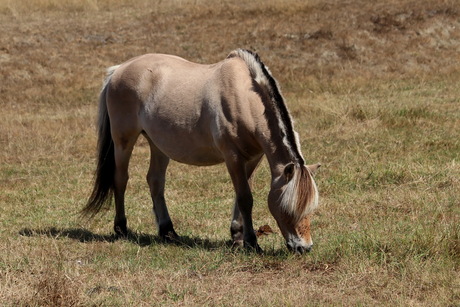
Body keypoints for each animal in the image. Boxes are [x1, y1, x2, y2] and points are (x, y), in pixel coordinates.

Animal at [82, 48, 320, 255]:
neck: (244, 98)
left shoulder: (252, 159)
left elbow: (241, 196)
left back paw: (168, 232)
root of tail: (118, 70)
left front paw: (237, 237)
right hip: (123, 141)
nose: (304, 248)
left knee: (155, 181)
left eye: (310, 207)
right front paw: (252, 243)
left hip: (158, 145)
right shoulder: (233, 158)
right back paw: (121, 228)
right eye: (288, 209)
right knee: (121, 179)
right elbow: (245, 198)